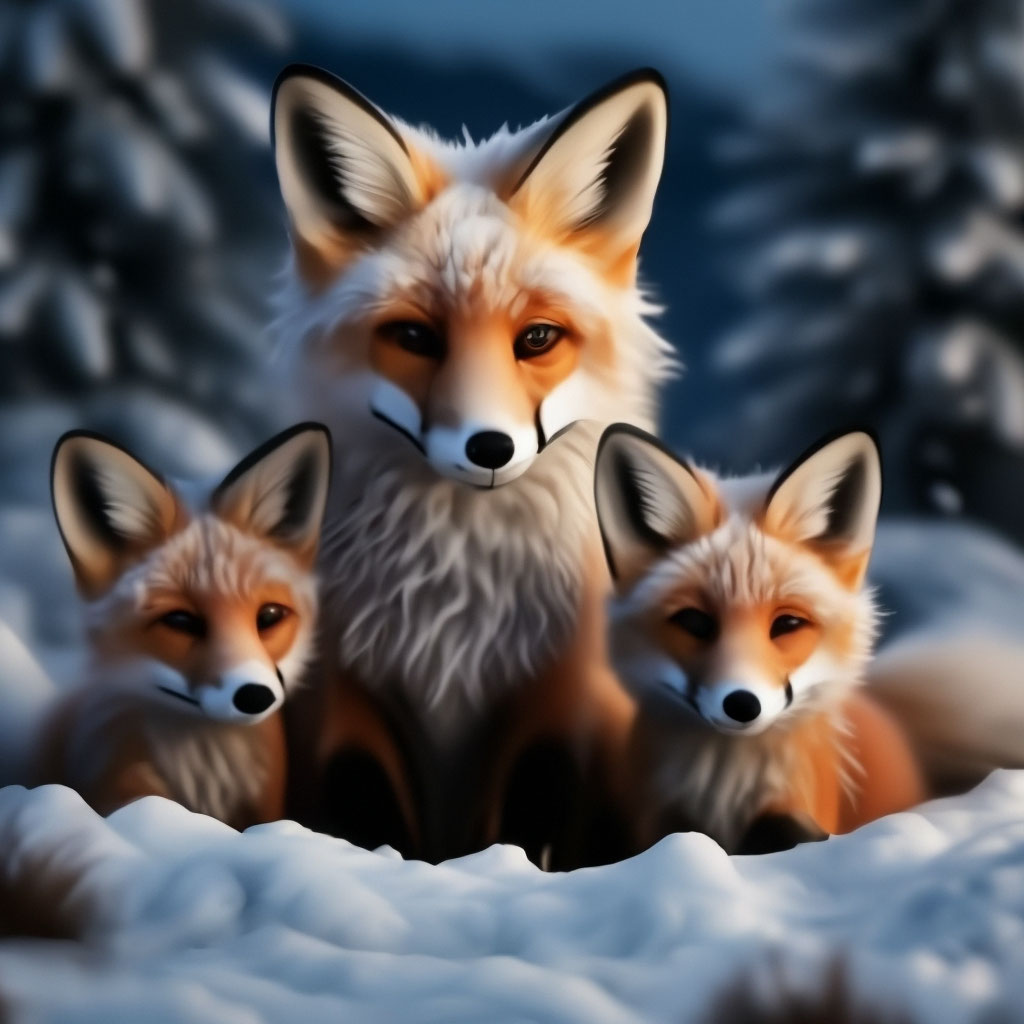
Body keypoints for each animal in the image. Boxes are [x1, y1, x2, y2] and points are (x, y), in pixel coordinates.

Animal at [269, 65, 674, 862]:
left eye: (538, 337)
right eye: (414, 337)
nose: (490, 448)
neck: (456, 605)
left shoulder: (554, 698)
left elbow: (530, 822)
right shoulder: (349, 694)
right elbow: (371, 817)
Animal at [593, 425, 926, 854]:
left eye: (787, 623)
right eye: (695, 622)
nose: (742, 704)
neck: (726, 787)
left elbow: (787, 829)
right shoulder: (653, 817)